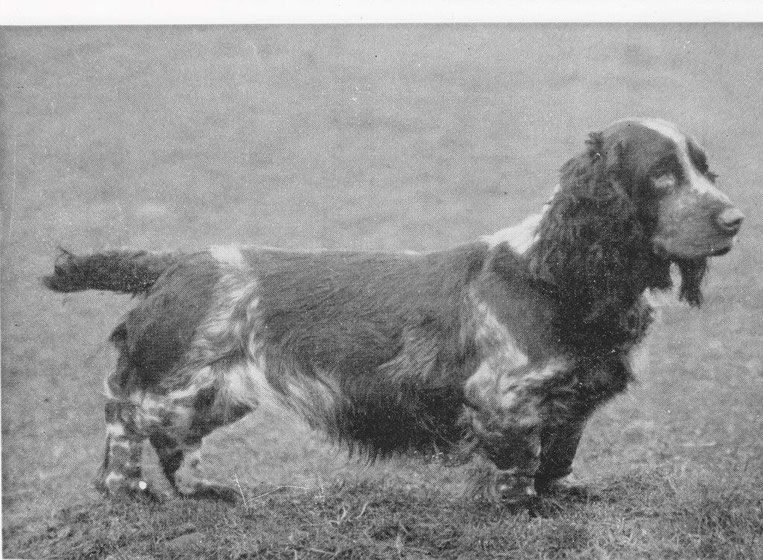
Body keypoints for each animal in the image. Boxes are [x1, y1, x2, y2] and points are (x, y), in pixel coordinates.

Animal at [44, 117, 744, 504]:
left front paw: (561, 493)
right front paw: (524, 507)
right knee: (123, 414)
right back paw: (125, 490)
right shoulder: (502, 398)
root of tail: (175, 262)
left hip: (218, 392)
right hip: (174, 384)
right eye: (661, 176)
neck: (561, 274)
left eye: (705, 169)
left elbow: (559, 454)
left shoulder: (569, 400)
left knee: (174, 444)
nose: (737, 219)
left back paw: (203, 491)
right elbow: (518, 465)